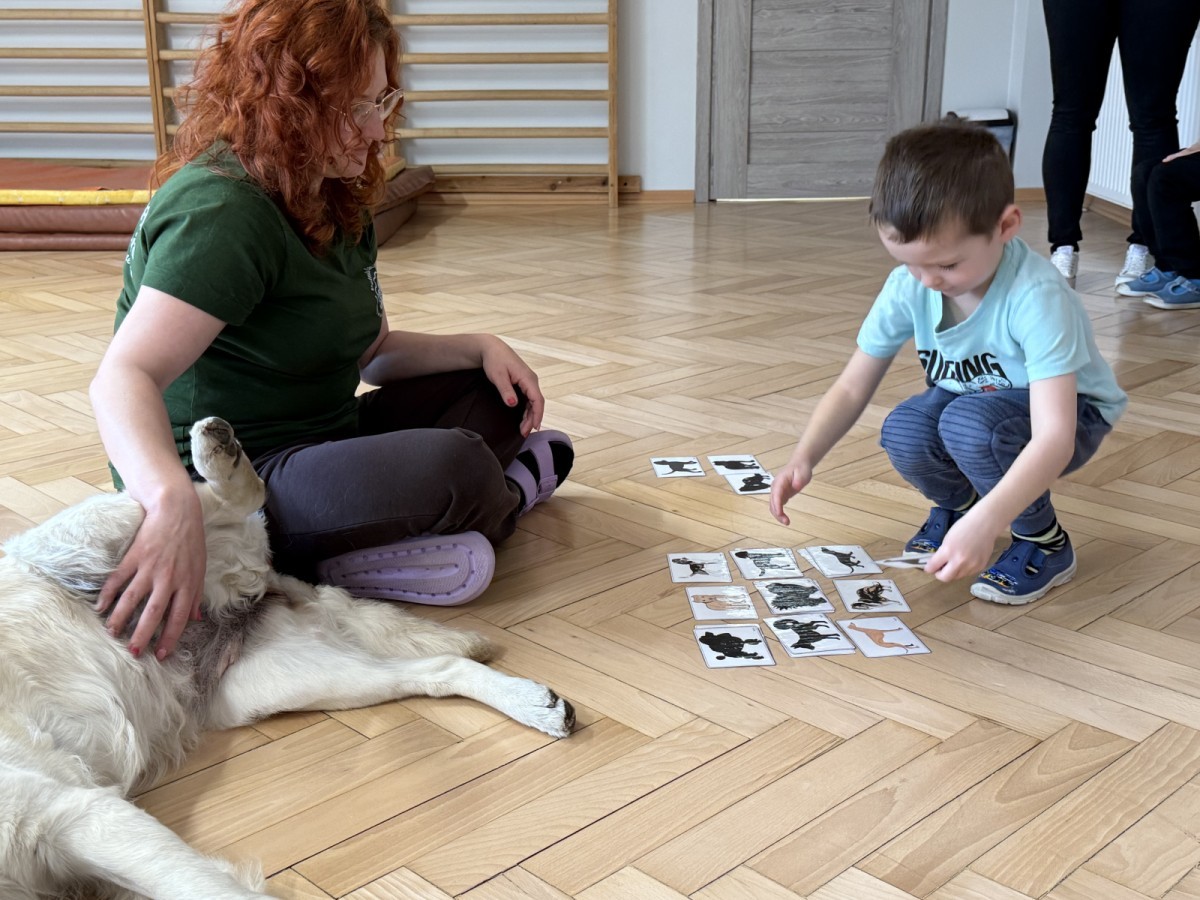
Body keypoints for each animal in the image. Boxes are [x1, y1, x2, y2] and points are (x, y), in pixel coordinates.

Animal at [0, 417, 574, 900]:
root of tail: (262, 581)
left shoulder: (73, 811)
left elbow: (212, 890)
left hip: (104, 539)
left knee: (197, 500)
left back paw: (219, 449)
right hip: (293, 681)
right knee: (437, 671)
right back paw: (534, 705)